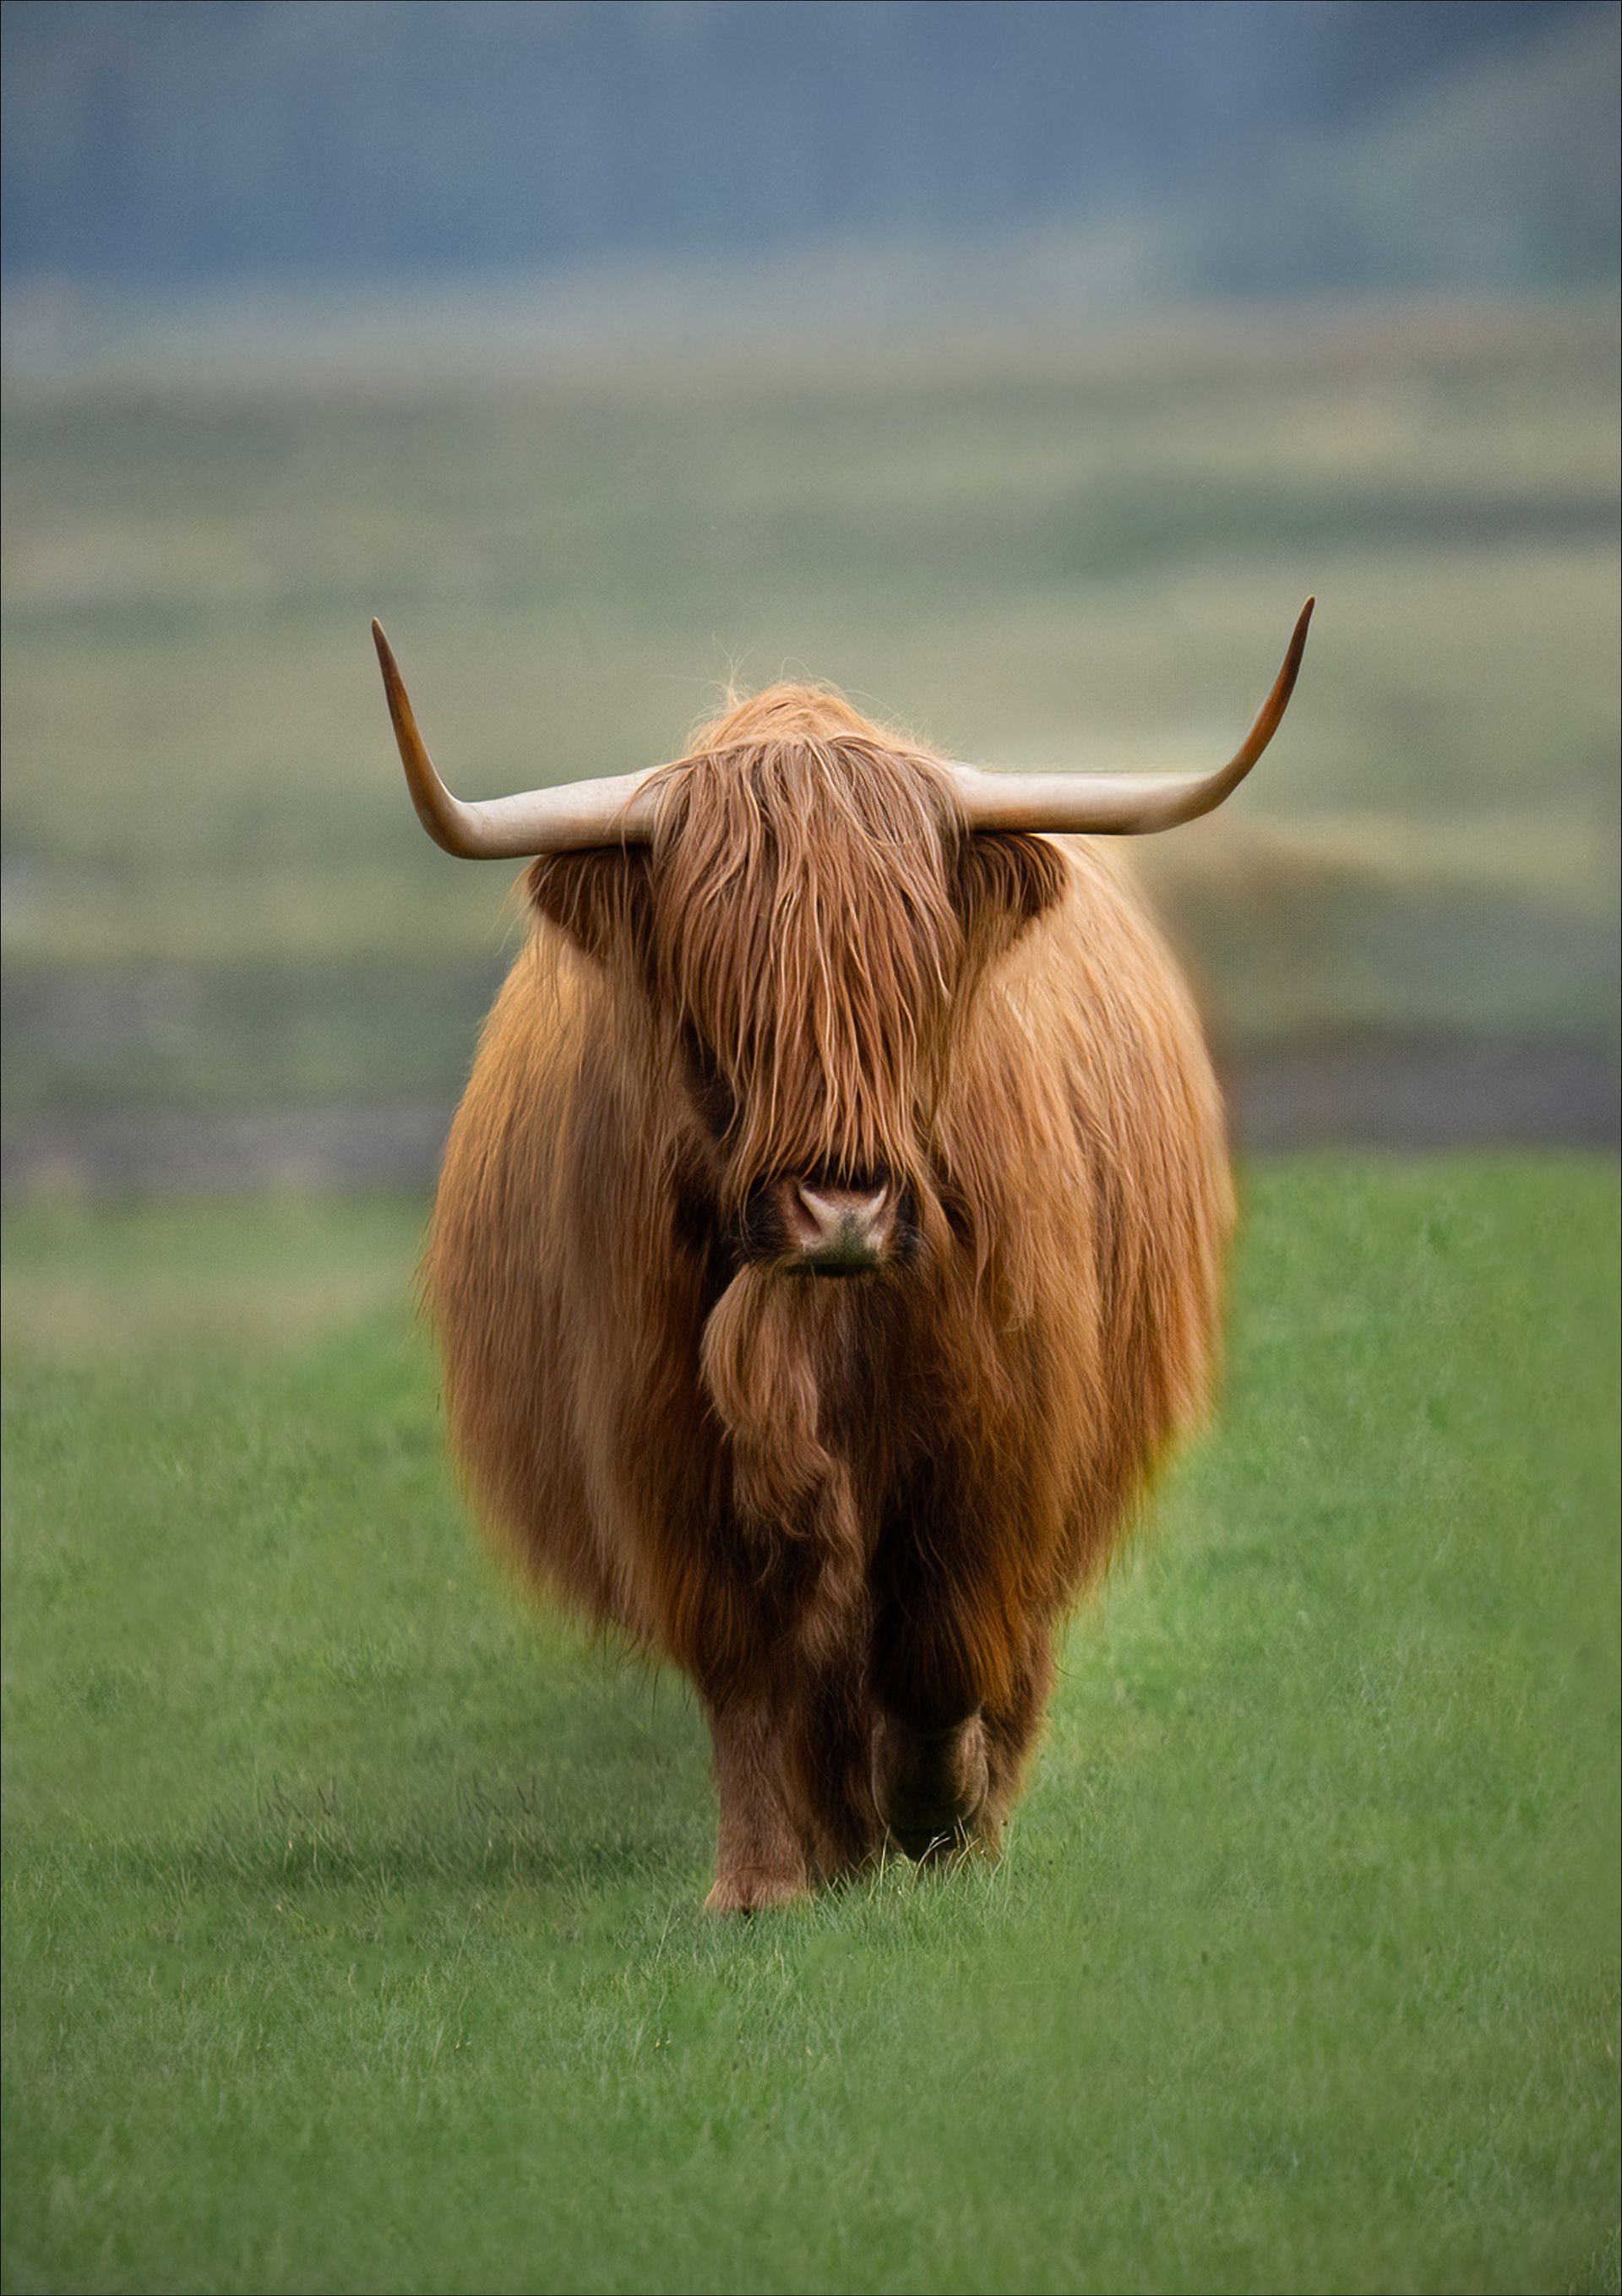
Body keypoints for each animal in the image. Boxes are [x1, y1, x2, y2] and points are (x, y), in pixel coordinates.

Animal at [371, 601, 1313, 1910]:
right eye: (721, 987)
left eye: (915, 974)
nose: (841, 1210)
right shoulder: (668, 1445)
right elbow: (753, 1671)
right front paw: (764, 1883)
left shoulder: (998, 1436)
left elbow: (943, 1650)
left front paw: (935, 1811)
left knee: (1003, 1647)